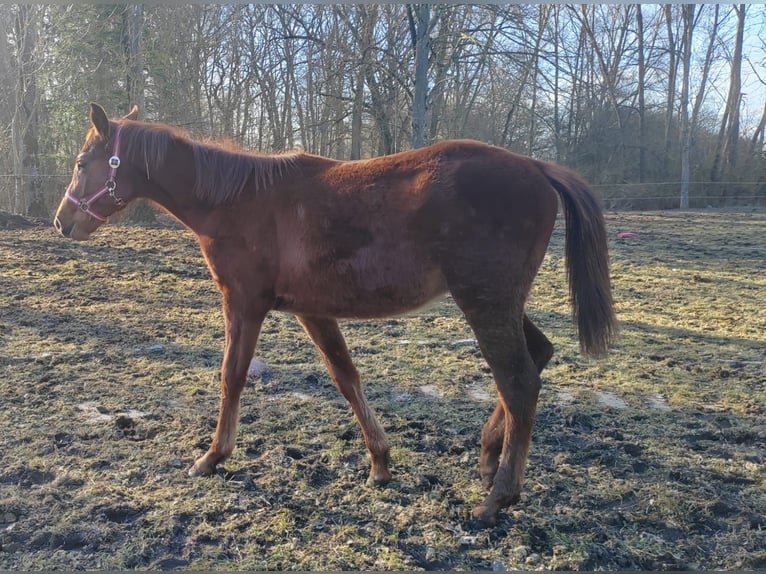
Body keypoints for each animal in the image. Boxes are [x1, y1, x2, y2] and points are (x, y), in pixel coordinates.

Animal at [54, 103, 616, 526]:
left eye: (82, 162)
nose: (62, 221)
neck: (239, 201)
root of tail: (537, 168)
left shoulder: (245, 304)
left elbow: (232, 376)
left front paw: (212, 457)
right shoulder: (312, 312)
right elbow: (346, 377)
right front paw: (380, 463)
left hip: (486, 302)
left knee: (519, 381)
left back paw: (497, 499)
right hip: (499, 303)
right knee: (537, 356)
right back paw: (487, 455)